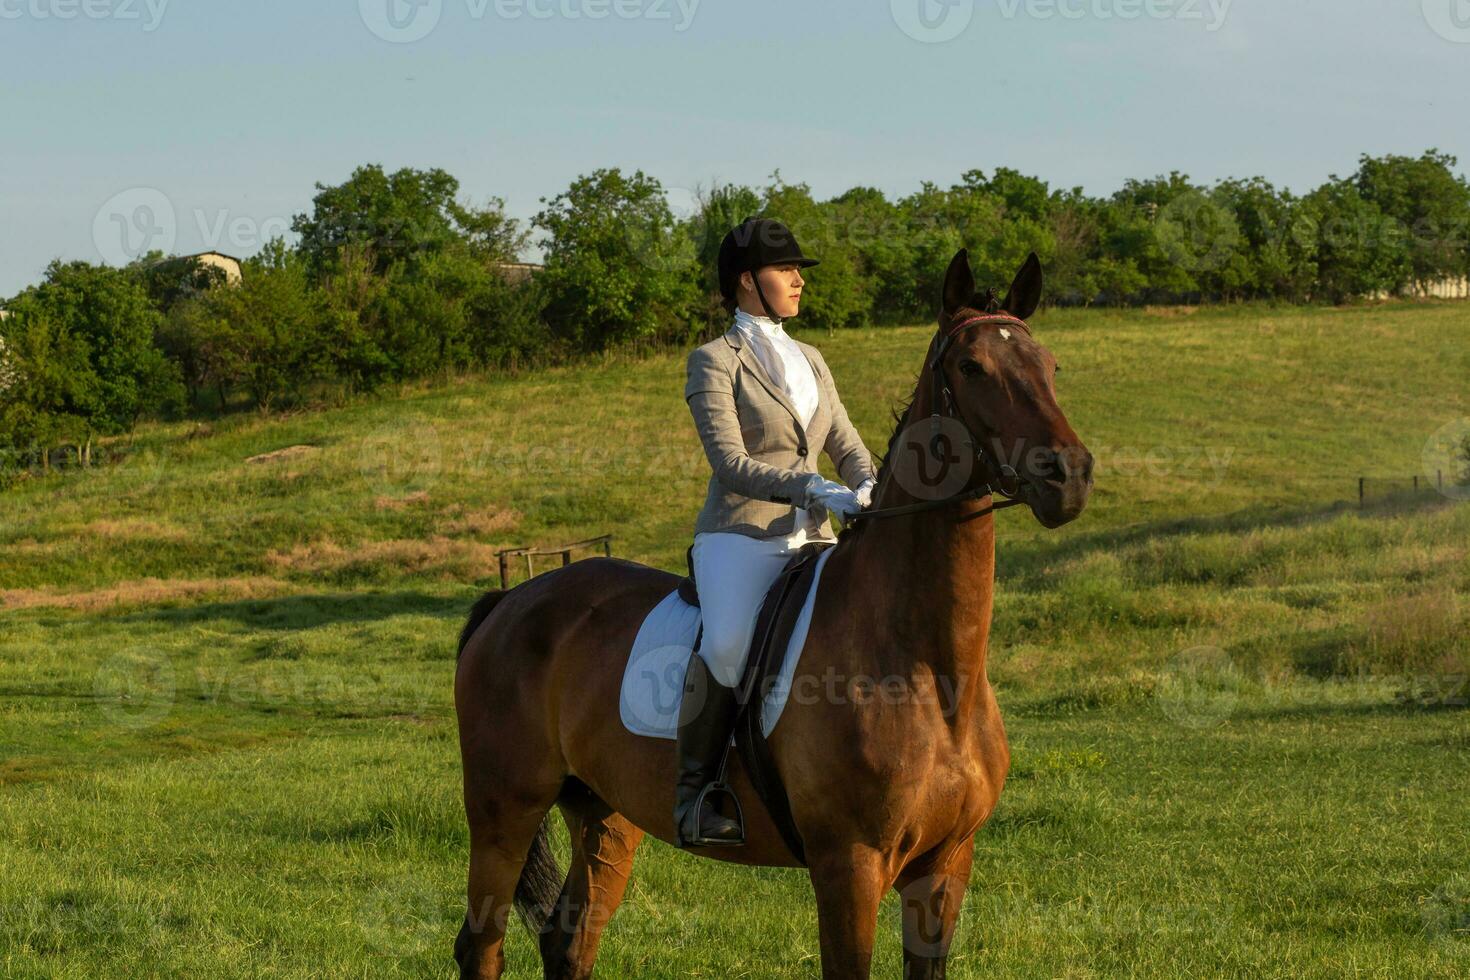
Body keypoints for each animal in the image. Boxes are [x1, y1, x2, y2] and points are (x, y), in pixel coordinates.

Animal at [452, 249, 1087, 975]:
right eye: (973, 367)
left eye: (1049, 366)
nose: (1069, 475)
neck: (929, 667)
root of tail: (511, 601)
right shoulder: (849, 866)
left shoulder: (945, 865)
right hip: (504, 808)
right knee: (482, 944)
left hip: (604, 814)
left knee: (569, 939)